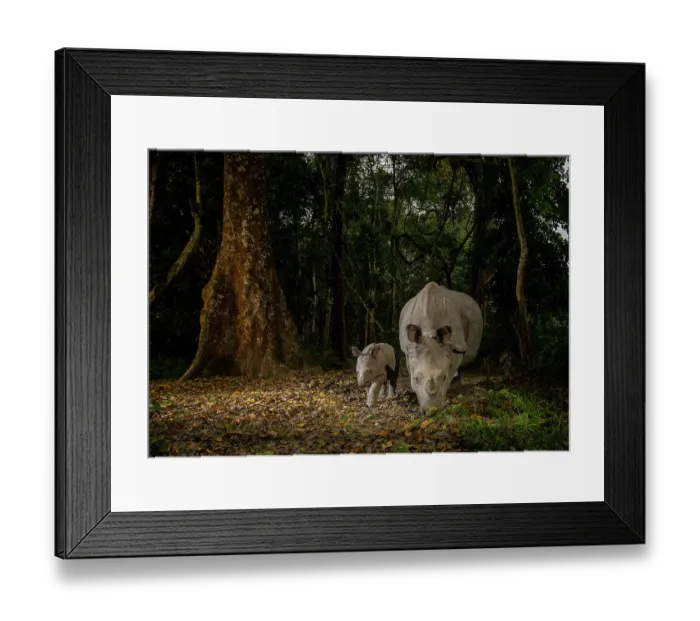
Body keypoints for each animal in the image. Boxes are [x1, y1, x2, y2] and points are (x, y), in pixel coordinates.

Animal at [399, 282, 483, 413]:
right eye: (416, 379)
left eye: (444, 377)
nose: (432, 409)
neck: (428, 332)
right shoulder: (408, 348)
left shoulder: (455, 344)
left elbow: (453, 363)